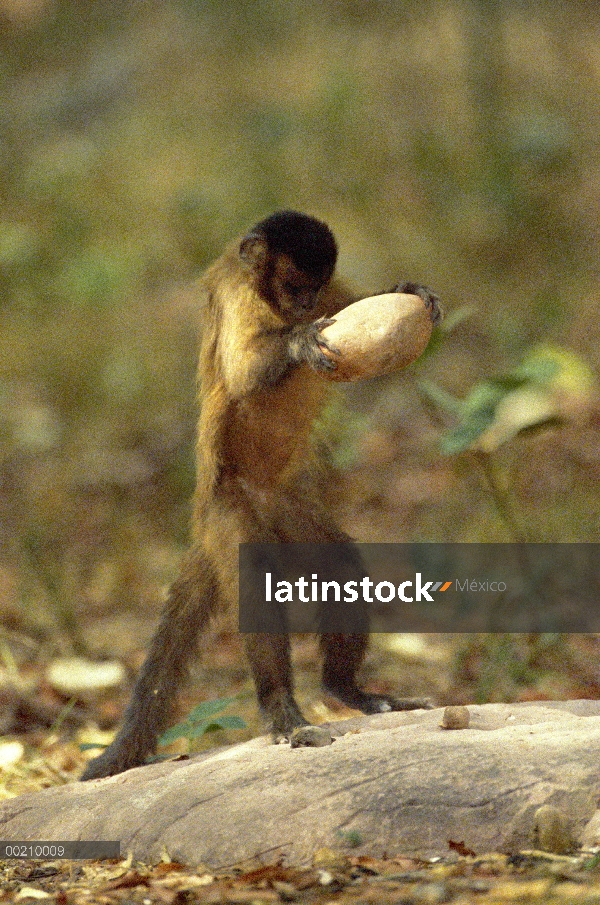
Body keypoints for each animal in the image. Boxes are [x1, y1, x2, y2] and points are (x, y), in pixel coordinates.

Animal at [81, 210, 440, 776]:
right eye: (292, 286)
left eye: (312, 287)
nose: (304, 306)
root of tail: (206, 515)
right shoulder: (237, 293)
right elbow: (245, 369)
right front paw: (296, 342)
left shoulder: (329, 292)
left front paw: (405, 291)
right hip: (231, 514)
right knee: (254, 581)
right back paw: (283, 713)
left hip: (287, 508)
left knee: (338, 565)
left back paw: (347, 690)